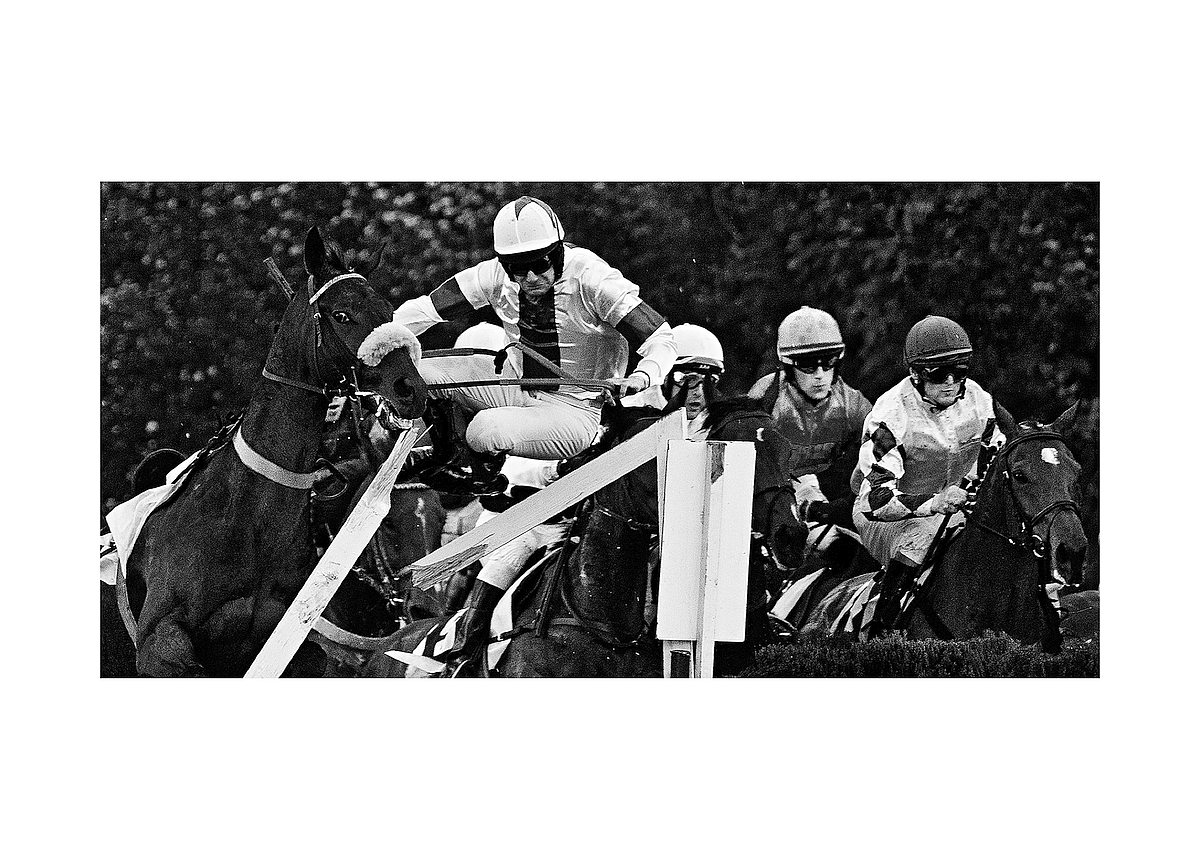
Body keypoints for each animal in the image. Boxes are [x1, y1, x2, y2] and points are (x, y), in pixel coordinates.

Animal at [112, 226, 428, 677]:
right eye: (342, 315)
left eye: (388, 310)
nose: (410, 389)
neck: (246, 518)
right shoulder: (159, 643)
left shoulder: (302, 644)